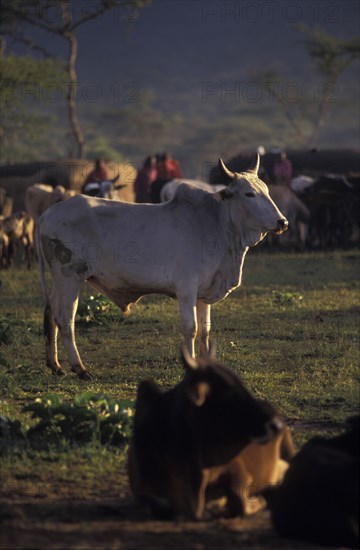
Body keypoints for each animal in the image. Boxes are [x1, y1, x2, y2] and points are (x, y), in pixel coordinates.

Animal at [38, 155, 288, 380]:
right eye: (249, 193)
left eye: (266, 190)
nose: (282, 222)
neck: (217, 225)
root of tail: (47, 214)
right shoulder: (186, 288)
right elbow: (191, 328)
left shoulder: (204, 294)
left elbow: (205, 331)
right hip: (70, 277)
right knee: (65, 320)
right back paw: (80, 368)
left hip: (60, 280)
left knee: (50, 313)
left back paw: (55, 365)